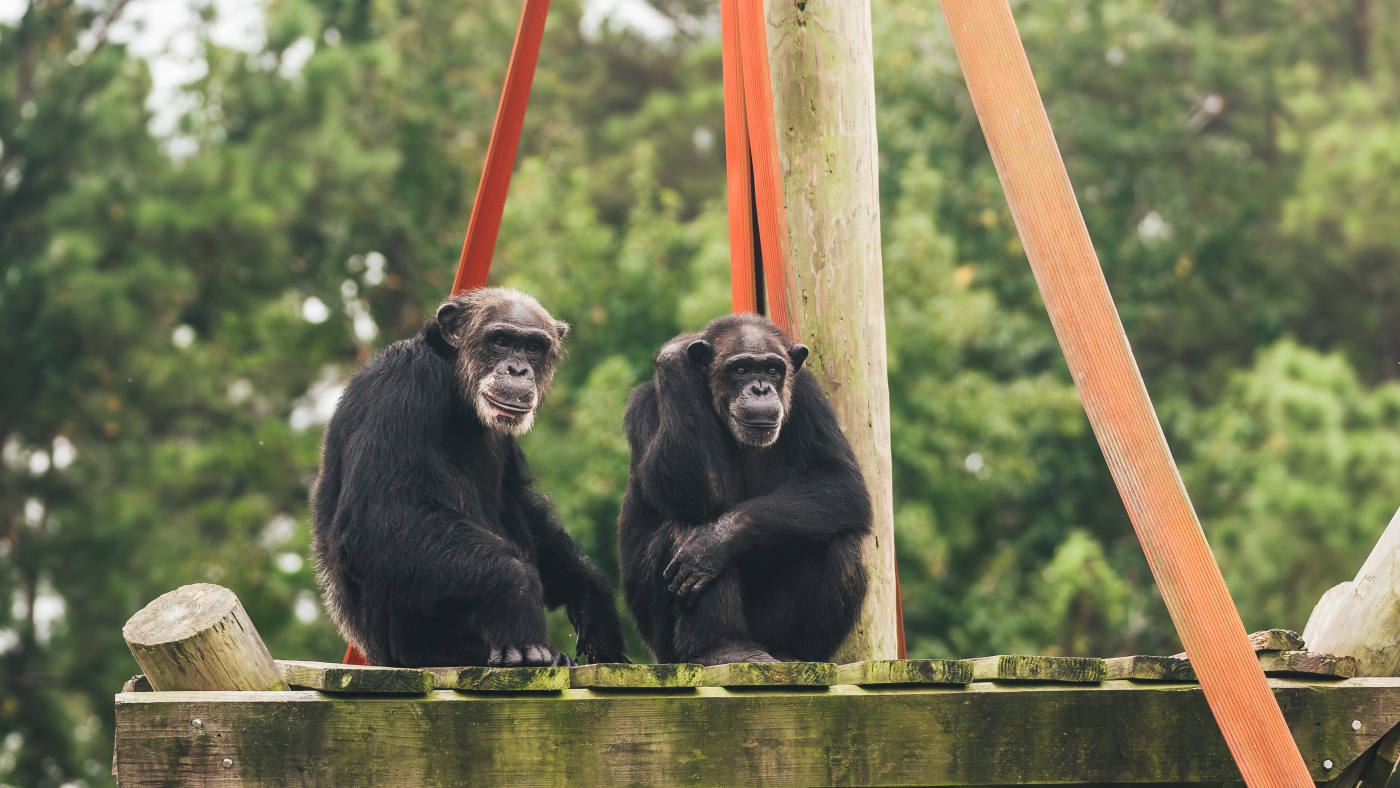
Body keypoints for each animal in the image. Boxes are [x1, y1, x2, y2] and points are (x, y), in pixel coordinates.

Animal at [317, 286, 630, 669]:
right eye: (500, 341)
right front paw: (518, 600)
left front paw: (590, 593)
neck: (456, 387)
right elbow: (380, 516)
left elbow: (522, 500)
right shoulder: (402, 384)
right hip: (415, 644)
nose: (517, 368)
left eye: (533, 347)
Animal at [618, 314, 868, 666]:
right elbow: (686, 486)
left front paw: (716, 541)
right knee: (688, 519)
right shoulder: (647, 405)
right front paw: (675, 354)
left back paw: (795, 653)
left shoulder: (809, 395)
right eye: (741, 370)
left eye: (773, 370)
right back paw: (724, 648)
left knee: (840, 539)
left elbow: (840, 479)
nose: (761, 388)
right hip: (664, 646)